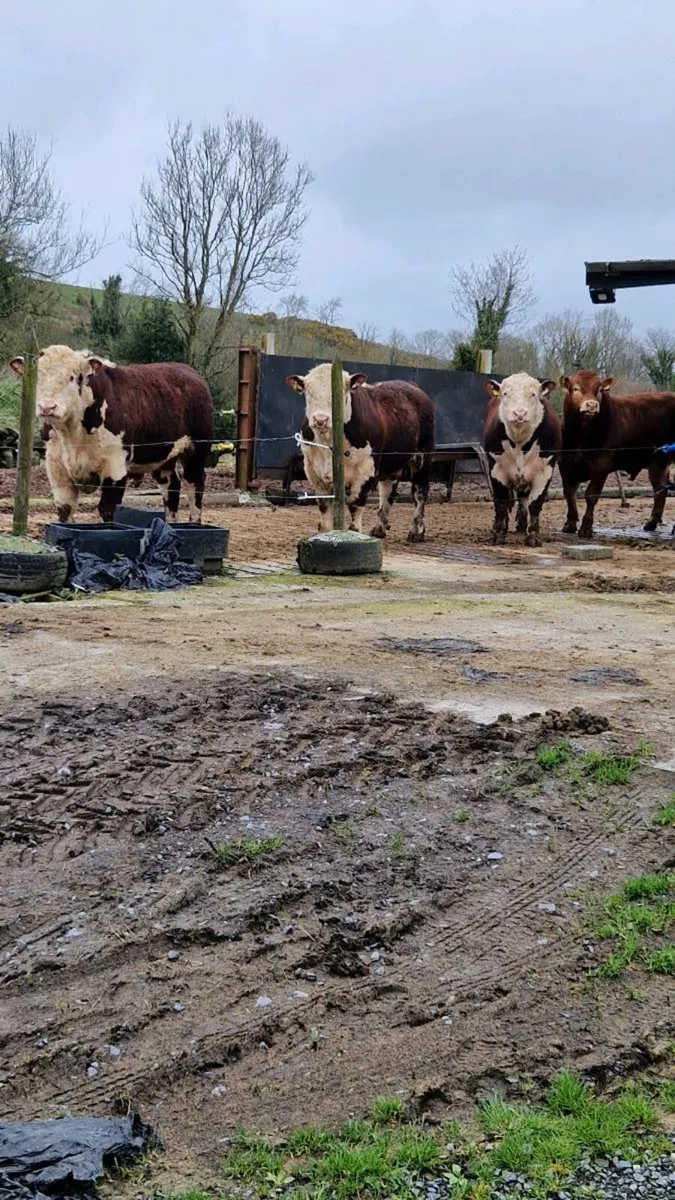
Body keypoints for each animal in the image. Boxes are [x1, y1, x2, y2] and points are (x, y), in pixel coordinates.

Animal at [9, 346, 214, 524]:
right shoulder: (57, 470)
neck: (74, 435)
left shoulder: (115, 467)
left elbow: (107, 510)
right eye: (38, 377)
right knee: (171, 488)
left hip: (196, 450)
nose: (47, 407)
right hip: (163, 458)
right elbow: (65, 510)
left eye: (73, 377)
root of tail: (189, 371)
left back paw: (194, 523)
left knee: (195, 485)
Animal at [285, 363, 435, 541]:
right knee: (387, 491)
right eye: (308, 392)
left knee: (420, 492)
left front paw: (354, 532)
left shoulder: (365, 470)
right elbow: (324, 507)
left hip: (422, 457)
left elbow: (355, 504)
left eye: (341, 391)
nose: (320, 419)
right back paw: (380, 528)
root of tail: (412, 386)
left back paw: (417, 531)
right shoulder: (313, 471)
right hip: (392, 463)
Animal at [483, 372, 561, 546]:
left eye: (533, 394)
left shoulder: (545, 471)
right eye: (505, 393)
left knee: (524, 500)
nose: (519, 414)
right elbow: (501, 502)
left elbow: (535, 504)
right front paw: (498, 534)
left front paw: (533, 536)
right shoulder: (497, 470)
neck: (520, 441)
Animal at [559, 371, 675, 538]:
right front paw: (570, 523)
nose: (592, 405)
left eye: (599, 389)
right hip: (657, 461)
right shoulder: (565, 463)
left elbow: (591, 494)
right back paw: (651, 523)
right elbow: (569, 493)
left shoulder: (602, 464)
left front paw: (586, 528)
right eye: (576, 388)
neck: (582, 436)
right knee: (660, 488)